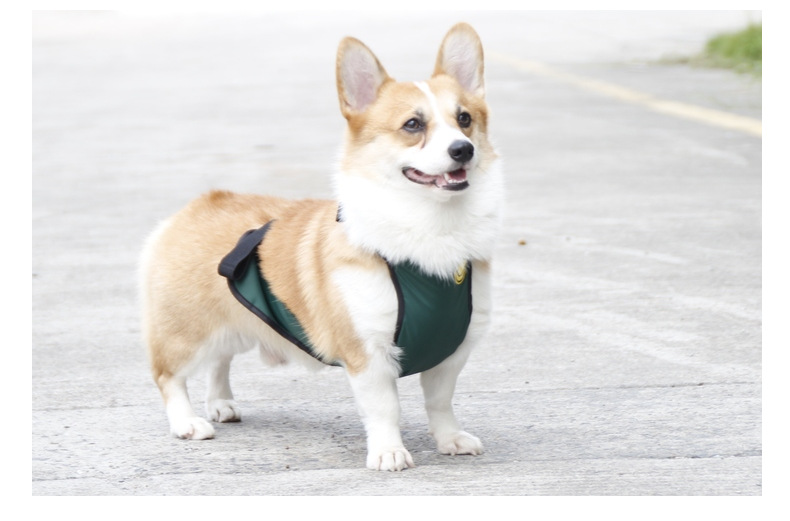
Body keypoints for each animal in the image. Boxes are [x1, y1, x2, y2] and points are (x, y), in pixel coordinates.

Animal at [139, 22, 503, 471]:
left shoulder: (451, 352)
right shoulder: (367, 353)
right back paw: (187, 422)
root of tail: (195, 206)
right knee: (168, 375)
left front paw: (450, 438)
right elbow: (385, 408)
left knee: (220, 361)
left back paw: (221, 403)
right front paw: (388, 451)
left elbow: (440, 402)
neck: (430, 225)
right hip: (189, 331)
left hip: (236, 324)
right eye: (413, 125)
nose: (462, 150)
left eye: (464, 119)